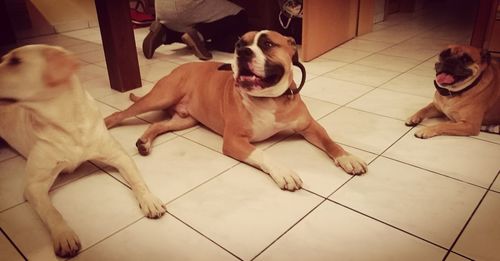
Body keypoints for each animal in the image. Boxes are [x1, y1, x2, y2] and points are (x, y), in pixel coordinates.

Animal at [0, 44, 168, 256]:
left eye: (15, 61)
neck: (67, 122)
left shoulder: (120, 157)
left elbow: (138, 181)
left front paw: (149, 200)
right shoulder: (34, 185)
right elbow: (51, 211)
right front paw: (64, 235)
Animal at [105, 30, 368, 190]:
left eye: (267, 44)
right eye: (239, 44)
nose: (242, 52)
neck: (269, 99)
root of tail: (181, 67)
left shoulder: (310, 126)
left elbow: (329, 141)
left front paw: (348, 158)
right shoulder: (234, 140)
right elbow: (262, 154)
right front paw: (283, 171)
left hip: (184, 119)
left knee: (158, 124)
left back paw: (144, 142)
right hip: (160, 97)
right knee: (120, 114)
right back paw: (106, 125)